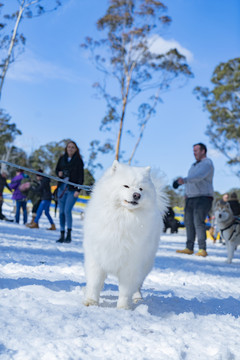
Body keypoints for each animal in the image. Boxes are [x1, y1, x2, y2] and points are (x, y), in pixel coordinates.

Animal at [83, 160, 168, 310]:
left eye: (141, 189)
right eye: (126, 186)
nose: (136, 195)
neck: (122, 218)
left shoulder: (131, 264)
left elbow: (126, 289)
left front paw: (123, 307)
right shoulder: (96, 257)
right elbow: (94, 283)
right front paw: (91, 302)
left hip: (145, 264)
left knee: (138, 285)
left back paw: (137, 298)